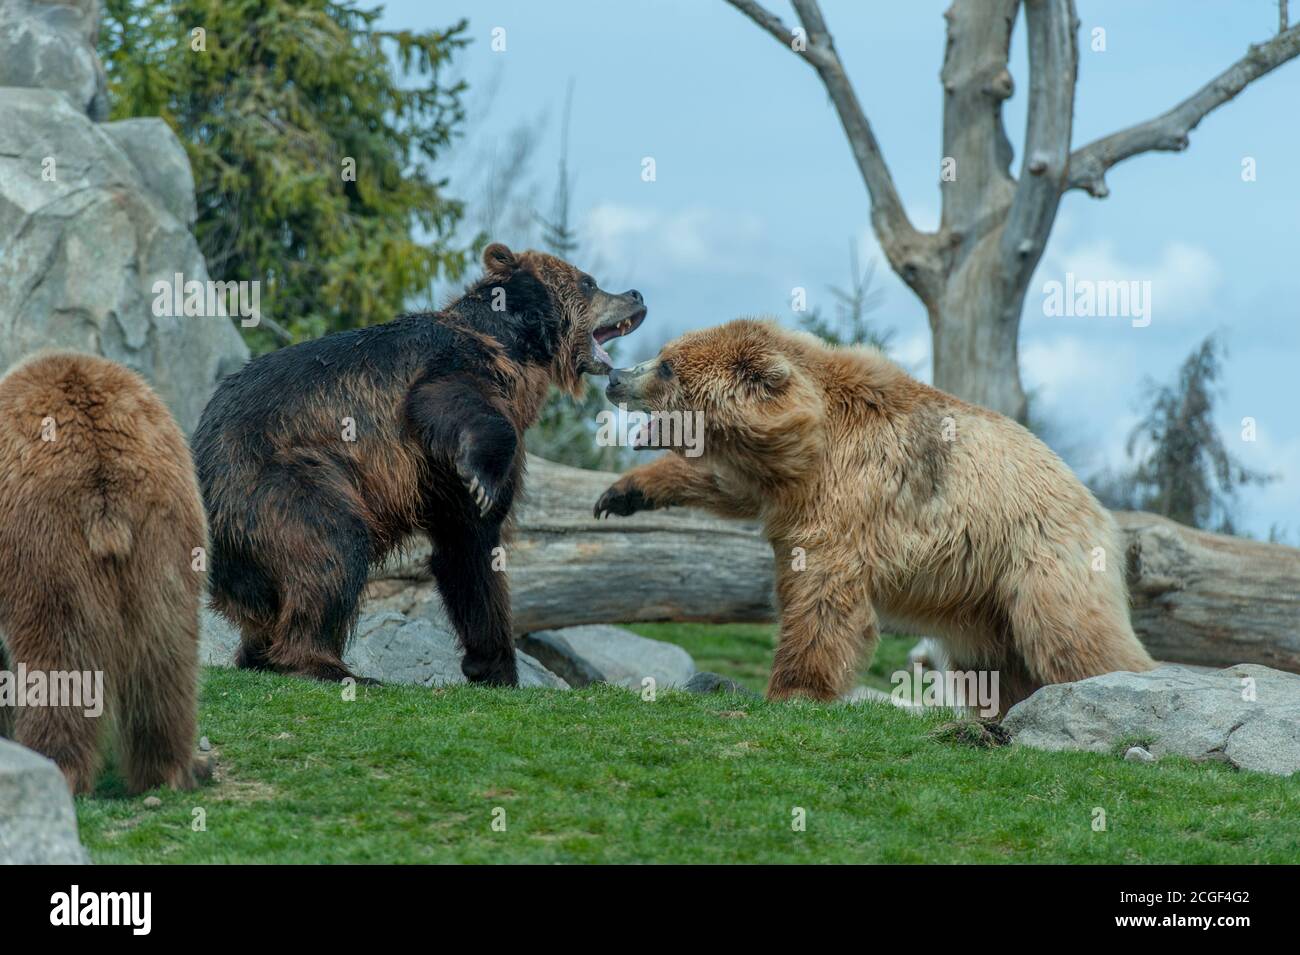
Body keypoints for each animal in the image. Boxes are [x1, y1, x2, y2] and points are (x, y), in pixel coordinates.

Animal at [0, 351, 207, 794]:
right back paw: (170, 769)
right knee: (164, 660)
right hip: (165, 538)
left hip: (44, 544)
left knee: (58, 660)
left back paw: (59, 767)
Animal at [193, 243, 646, 686]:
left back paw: (263, 655)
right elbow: (446, 405)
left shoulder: (439, 481)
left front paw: (492, 664)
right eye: (589, 281)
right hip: (285, 476)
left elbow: (468, 553)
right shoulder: (449, 371)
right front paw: (481, 477)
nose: (636, 294)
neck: (514, 352)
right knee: (332, 542)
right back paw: (328, 665)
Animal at [593, 319, 1154, 713]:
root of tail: (1097, 505)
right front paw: (622, 493)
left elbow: (822, 598)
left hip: (1039, 557)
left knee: (1070, 635)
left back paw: (1125, 682)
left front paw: (794, 689)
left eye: (667, 364)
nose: (615, 377)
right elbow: (725, 485)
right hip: (981, 599)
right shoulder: (782, 481)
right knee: (993, 665)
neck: (807, 444)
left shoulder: (847, 496)